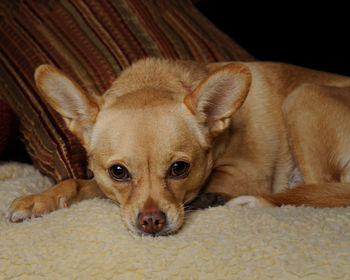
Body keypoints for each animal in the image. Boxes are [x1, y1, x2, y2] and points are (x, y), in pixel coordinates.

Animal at [6, 58, 350, 235]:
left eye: (179, 168)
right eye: (118, 172)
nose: (151, 221)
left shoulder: (246, 174)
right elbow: (80, 183)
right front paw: (40, 199)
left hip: (302, 97)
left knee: (323, 192)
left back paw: (252, 203)